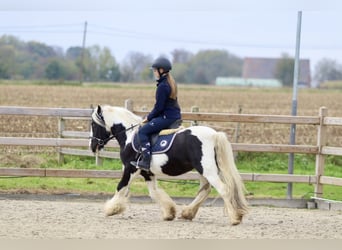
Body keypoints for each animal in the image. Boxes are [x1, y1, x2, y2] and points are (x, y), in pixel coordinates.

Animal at [88, 104, 248, 226]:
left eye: (93, 124)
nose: (93, 146)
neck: (130, 135)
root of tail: (215, 135)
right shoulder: (147, 173)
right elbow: (154, 192)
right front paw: (169, 213)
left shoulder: (131, 168)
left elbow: (121, 187)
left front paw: (111, 209)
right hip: (203, 171)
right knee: (205, 190)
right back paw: (187, 213)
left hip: (208, 170)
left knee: (223, 190)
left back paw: (235, 218)